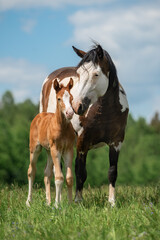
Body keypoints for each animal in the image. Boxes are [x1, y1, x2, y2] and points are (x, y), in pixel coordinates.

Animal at [26, 78, 75, 206]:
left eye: (71, 98)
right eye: (59, 98)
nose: (70, 113)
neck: (62, 127)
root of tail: (39, 116)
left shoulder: (68, 150)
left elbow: (69, 178)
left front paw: (70, 204)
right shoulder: (56, 149)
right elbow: (59, 177)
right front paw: (57, 205)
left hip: (48, 151)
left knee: (46, 173)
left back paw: (48, 202)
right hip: (35, 148)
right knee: (31, 171)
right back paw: (29, 201)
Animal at [40, 44, 129, 205]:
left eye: (96, 74)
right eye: (79, 75)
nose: (76, 106)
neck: (105, 112)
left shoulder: (116, 142)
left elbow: (112, 172)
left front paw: (112, 202)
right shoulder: (82, 142)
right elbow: (80, 172)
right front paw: (78, 201)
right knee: (55, 169)